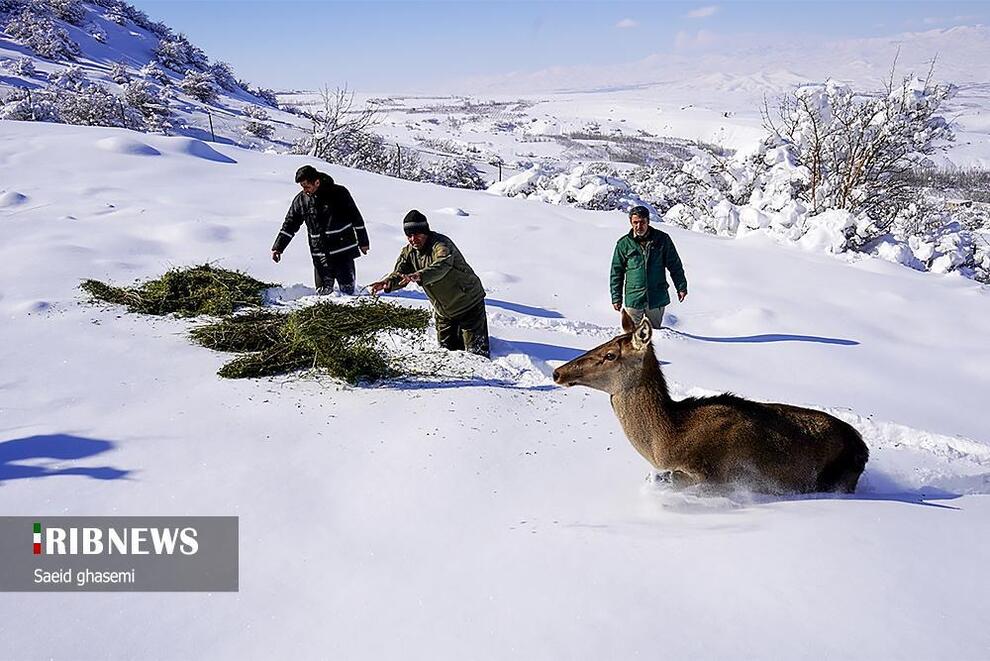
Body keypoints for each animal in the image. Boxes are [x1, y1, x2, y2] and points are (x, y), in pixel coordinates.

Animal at [556, 312, 872, 492]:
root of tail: (862, 447)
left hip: (837, 480)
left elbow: (667, 479)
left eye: (610, 355)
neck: (666, 441)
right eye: (603, 344)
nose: (559, 372)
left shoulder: (715, 475)